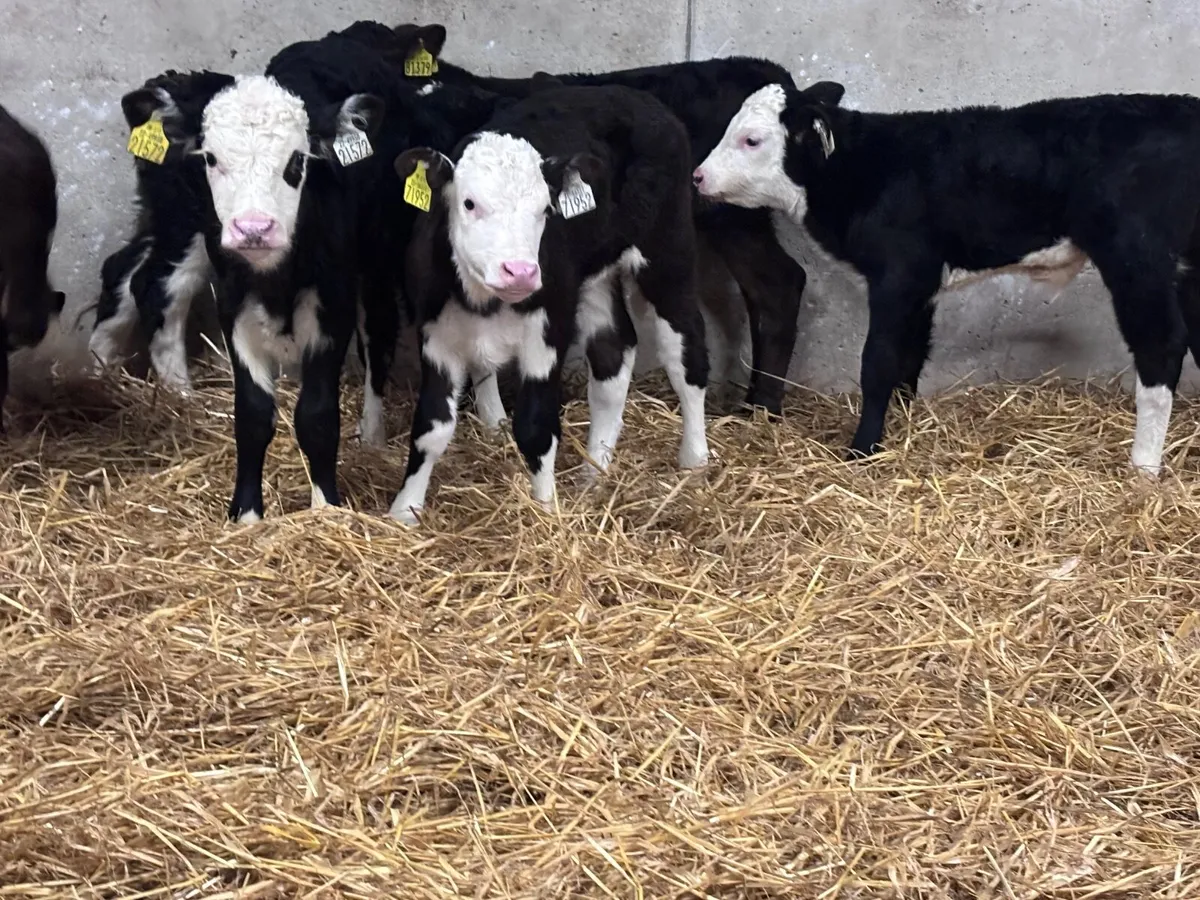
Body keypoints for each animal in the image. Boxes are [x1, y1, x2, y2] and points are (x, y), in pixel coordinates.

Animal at [89, 69, 234, 394]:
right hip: (199, 214)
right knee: (158, 285)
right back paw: (181, 392)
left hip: (165, 210)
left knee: (121, 268)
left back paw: (102, 374)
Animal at [388, 84, 710, 525]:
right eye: (469, 203)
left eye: (545, 209)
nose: (520, 271)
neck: (486, 301)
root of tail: (634, 96)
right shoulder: (436, 333)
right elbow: (431, 427)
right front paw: (404, 511)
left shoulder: (548, 331)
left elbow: (536, 429)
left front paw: (544, 509)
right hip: (594, 278)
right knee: (612, 353)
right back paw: (594, 471)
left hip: (668, 254)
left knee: (685, 355)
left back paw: (694, 460)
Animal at [693, 82, 1200, 478]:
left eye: (752, 140)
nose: (698, 176)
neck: (864, 171)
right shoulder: (920, 285)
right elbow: (910, 357)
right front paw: (901, 425)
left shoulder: (898, 275)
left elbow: (878, 362)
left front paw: (862, 450)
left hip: (1135, 258)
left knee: (1162, 346)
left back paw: (1143, 467)